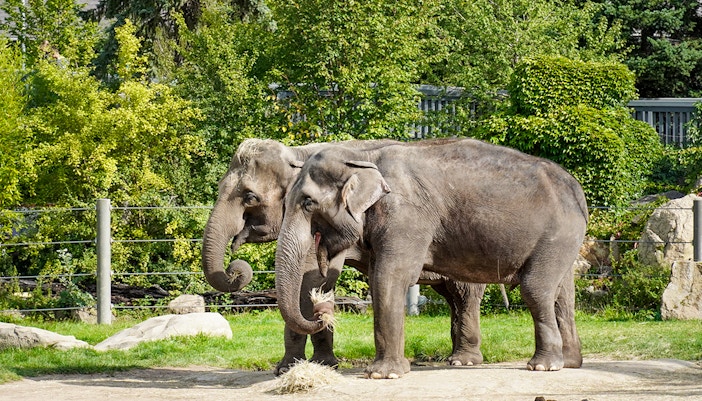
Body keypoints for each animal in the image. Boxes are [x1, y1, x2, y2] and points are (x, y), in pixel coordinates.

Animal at [201, 138, 486, 375]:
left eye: (250, 197)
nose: (234, 268)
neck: (298, 152)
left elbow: (312, 279)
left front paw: (294, 368)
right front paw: (309, 365)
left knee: (464, 294)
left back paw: (463, 360)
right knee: (451, 298)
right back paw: (454, 356)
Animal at [275, 138, 587, 379]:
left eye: (308, 202)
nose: (322, 309)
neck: (365, 157)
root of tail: (577, 190)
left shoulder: (406, 216)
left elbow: (390, 276)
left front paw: (383, 375)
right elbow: (378, 279)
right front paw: (388, 371)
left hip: (556, 234)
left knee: (536, 288)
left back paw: (544, 366)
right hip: (563, 240)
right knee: (563, 293)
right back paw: (570, 362)